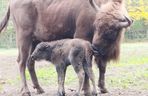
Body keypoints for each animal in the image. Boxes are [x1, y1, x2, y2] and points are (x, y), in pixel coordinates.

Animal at [0, 0, 132, 95]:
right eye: (96, 25)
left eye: (110, 30)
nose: (95, 47)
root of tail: (11, 2)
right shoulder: (82, 37)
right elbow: (86, 70)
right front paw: (87, 90)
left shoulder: (101, 52)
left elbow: (102, 67)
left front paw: (103, 89)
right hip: (23, 37)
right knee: (21, 62)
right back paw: (26, 91)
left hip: (35, 41)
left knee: (30, 62)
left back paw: (39, 89)